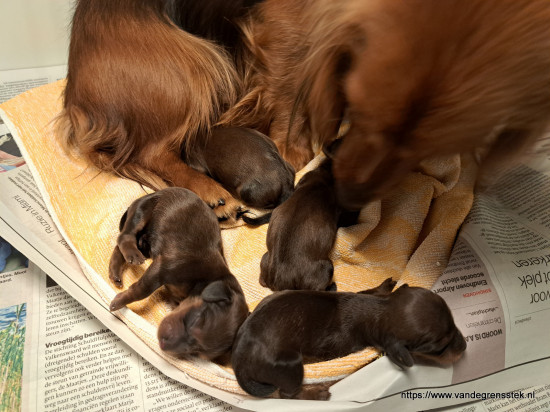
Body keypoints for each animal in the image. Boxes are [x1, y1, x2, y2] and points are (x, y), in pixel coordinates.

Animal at [59, 0, 550, 211]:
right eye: (362, 114)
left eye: (429, 148)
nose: (346, 200)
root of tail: (78, 100)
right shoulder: (290, 25)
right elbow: (289, 83)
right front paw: (296, 150)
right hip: (192, 64)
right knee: (154, 151)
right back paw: (209, 191)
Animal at [108, 188, 250, 362]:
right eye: (195, 320)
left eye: (196, 352)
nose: (163, 344)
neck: (203, 281)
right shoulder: (162, 268)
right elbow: (141, 290)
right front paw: (118, 302)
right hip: (143, 210)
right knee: (125, 236)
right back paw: (132, 255)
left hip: (145, 242)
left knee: (120, 247)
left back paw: (115, 273)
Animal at [233, 276, 470, 400]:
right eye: (438, 347)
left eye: (453, 322)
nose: (465, 346)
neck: (378, 310)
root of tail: (239, 363)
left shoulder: (369, 296)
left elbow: (373, 290)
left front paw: (388, 284)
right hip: (290, 366)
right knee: (287, 394)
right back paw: (316, 393)